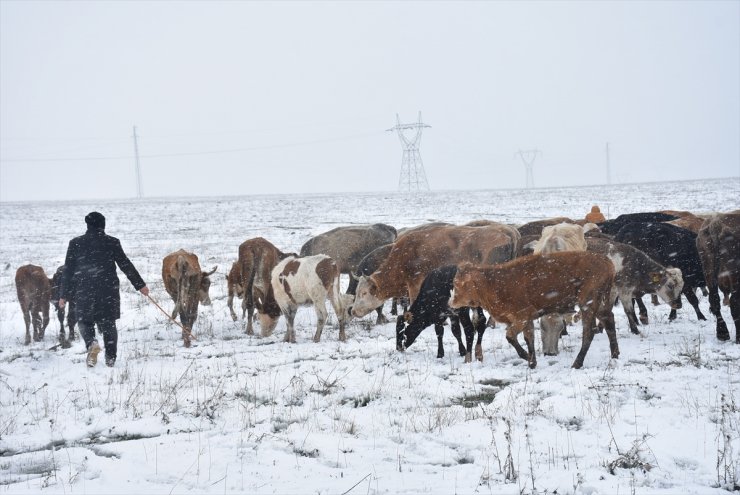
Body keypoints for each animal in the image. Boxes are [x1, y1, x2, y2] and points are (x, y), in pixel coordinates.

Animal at [448, 254, 616, 370]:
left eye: (457, 283)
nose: (450, 303)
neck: (494, 284)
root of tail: (606, 262)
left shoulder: (521, 318)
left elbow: (510, 336)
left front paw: (525, 357)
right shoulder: (527, 319)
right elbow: (529, 339)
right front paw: (532, 362)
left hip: (587, 304)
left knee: (589, 332)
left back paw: (577, 363)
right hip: (598, 305)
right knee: (609, 321)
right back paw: (615, 355)